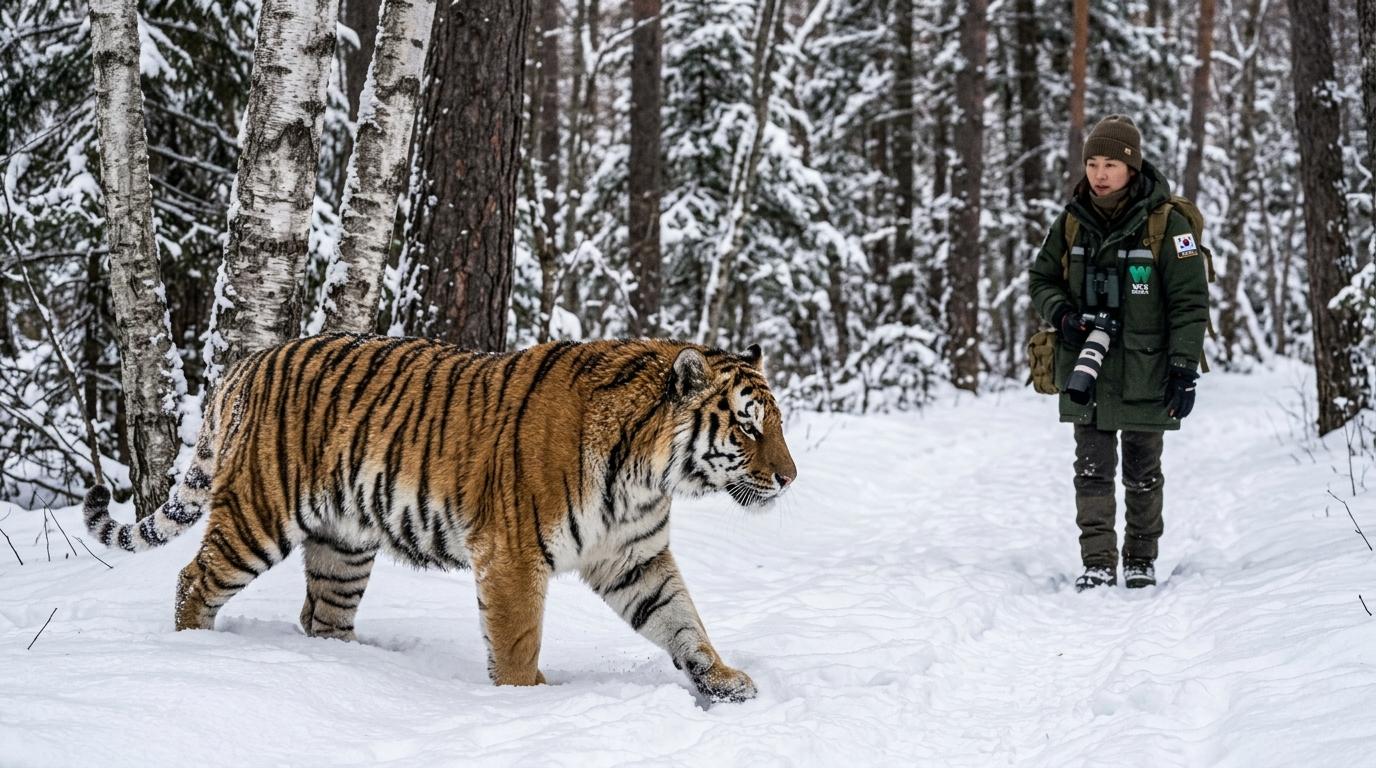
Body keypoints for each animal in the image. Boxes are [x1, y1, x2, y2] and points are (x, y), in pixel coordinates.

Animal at [84, 334, 797, 703]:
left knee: (322, 618)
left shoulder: (635, 556)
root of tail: (245, 364)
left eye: (778, 423)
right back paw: (195, 651)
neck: (649, 474)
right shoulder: (512, 555)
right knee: (194, 578)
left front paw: (722, 679)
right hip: (259, 514)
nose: (790, 478)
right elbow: (517, 641)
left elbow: (682, 619)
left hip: (344, 545)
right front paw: (527, 699)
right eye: (748, 425)